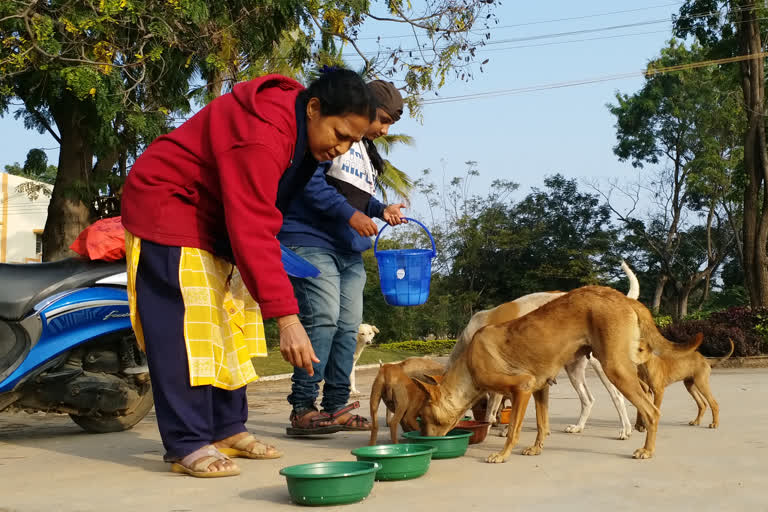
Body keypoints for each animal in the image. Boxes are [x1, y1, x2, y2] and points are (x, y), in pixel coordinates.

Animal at [414, 288, 704, 464]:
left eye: (425, 418)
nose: (427, 441)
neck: (469, 362)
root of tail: (623, 297)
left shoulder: (522, 387)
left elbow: (513, 428)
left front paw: (503, 454)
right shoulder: (540, 387)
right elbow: (542, 424)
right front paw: (536, 448)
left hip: (613, 368)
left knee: (650, 409)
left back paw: (645, 448)